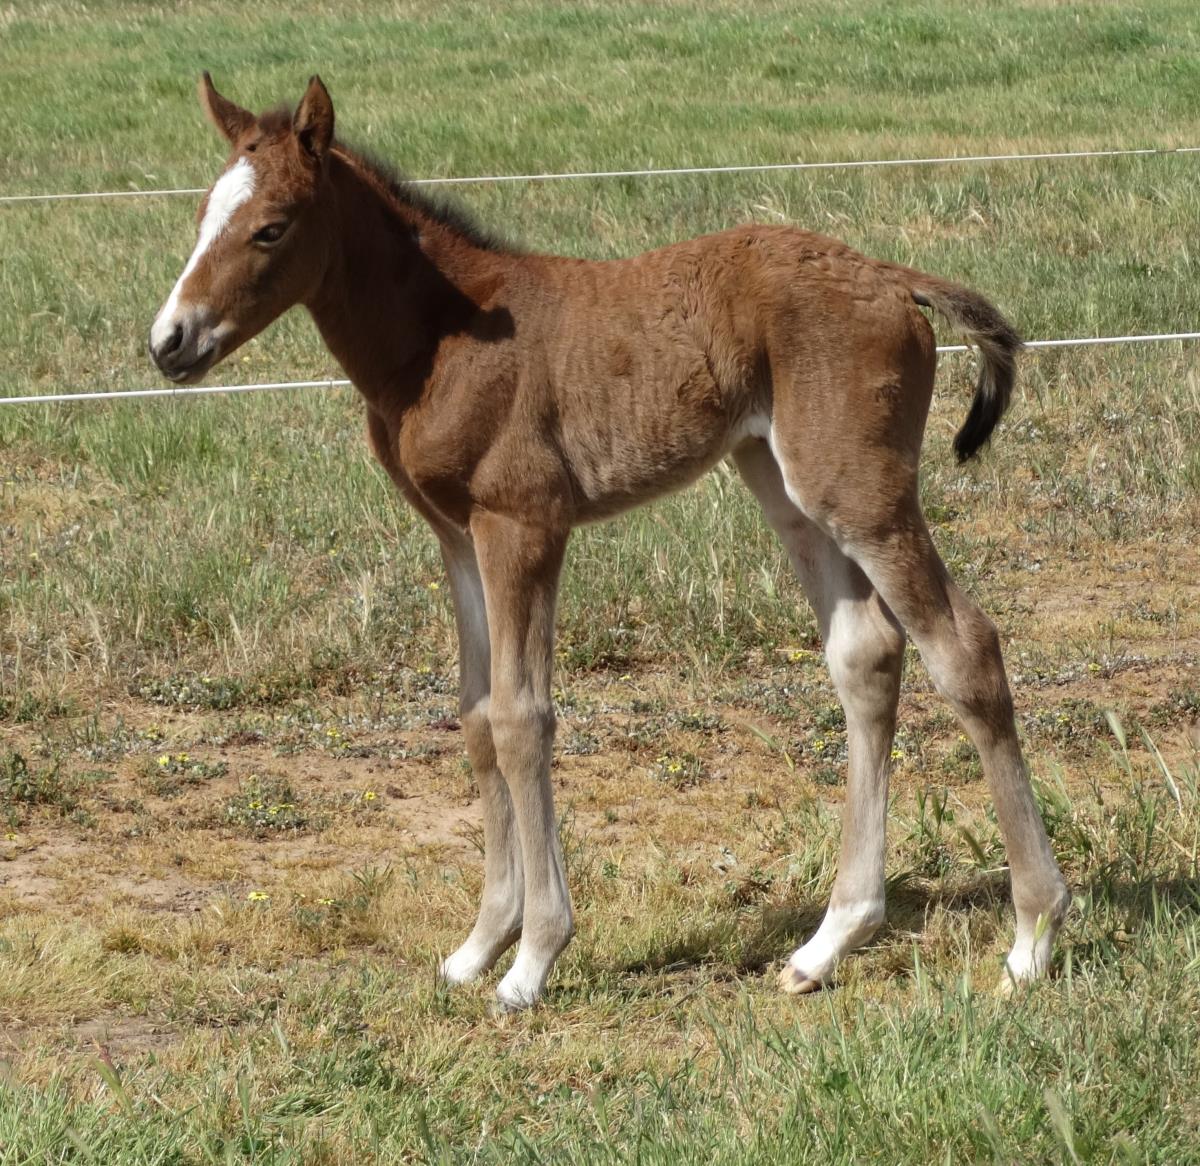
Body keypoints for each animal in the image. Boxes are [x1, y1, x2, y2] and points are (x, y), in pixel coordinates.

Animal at [149, 74, 1069, 1011]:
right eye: (200, 214)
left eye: (271, 227)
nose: (170, 342)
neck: (439, 337)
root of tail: (893, 278)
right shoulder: (456, 536)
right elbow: (475, 714)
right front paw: (477, 947)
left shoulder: (522, 523)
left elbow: (521, 717)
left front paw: (531, 961)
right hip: (785, 486)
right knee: (866, 655)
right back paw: (828, 943)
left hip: (860, 493)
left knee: (965, 649)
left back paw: (1032, 937)